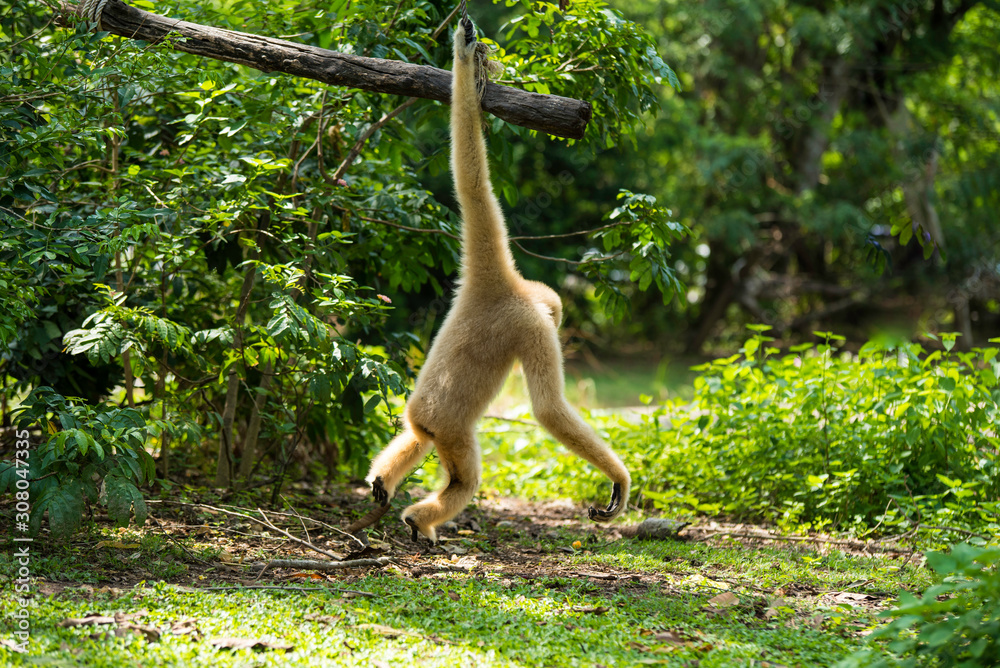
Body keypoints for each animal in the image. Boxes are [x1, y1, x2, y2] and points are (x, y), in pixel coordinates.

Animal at [362, 18, 630, 543]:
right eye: (554, 319)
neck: (511, 288)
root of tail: (427, 418)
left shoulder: (478, 271)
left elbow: (468, 181)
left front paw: (464, 59)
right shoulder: (532, 323)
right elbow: (548, 409)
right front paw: (618, 481)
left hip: (420, 420)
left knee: (414, 439)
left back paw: (384, 481)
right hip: (454, 433)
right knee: (465, 480)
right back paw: (419, 518)